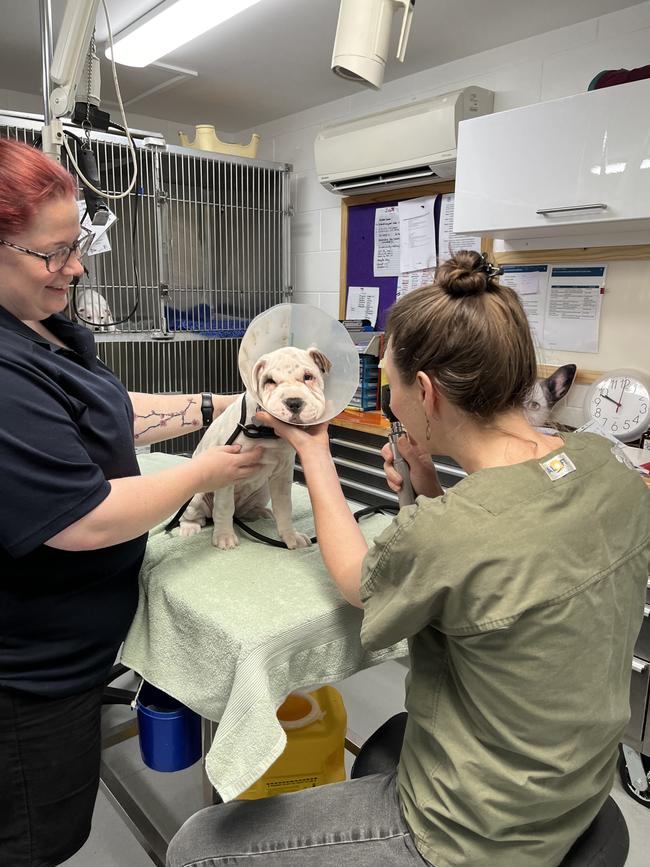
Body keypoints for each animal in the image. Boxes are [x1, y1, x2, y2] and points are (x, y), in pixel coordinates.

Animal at [177, 346, 330, 548]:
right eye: (269, 381)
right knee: (193, 515)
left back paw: (260, 513)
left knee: (244, 511)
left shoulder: (282, 476)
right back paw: (189, 527)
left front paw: (290, 536)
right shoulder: (227, 471)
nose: (294, 402)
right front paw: (224, 536)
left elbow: (284, 507)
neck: (265, 431)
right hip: (196, 495)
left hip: (262, 492)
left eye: (308, 377)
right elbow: (224, 507)